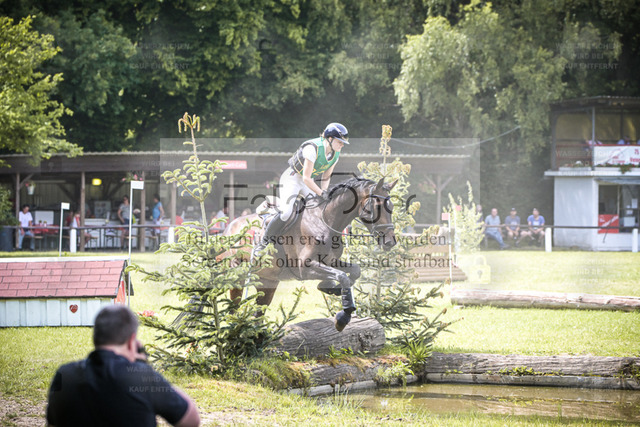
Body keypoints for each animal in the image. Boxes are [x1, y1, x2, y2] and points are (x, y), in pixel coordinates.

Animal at [222, 176, 397, 331]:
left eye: (392, 207)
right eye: (377, 206)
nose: (390, 242)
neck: (324, 221)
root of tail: (230, 225)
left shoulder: (330, 262)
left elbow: (354, 271)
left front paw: (331, 288)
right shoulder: (305, 268)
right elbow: (342, 276)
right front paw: (343, 316)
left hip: (267, 280)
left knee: (259, 312)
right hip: (237, 273)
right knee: (234, 306)